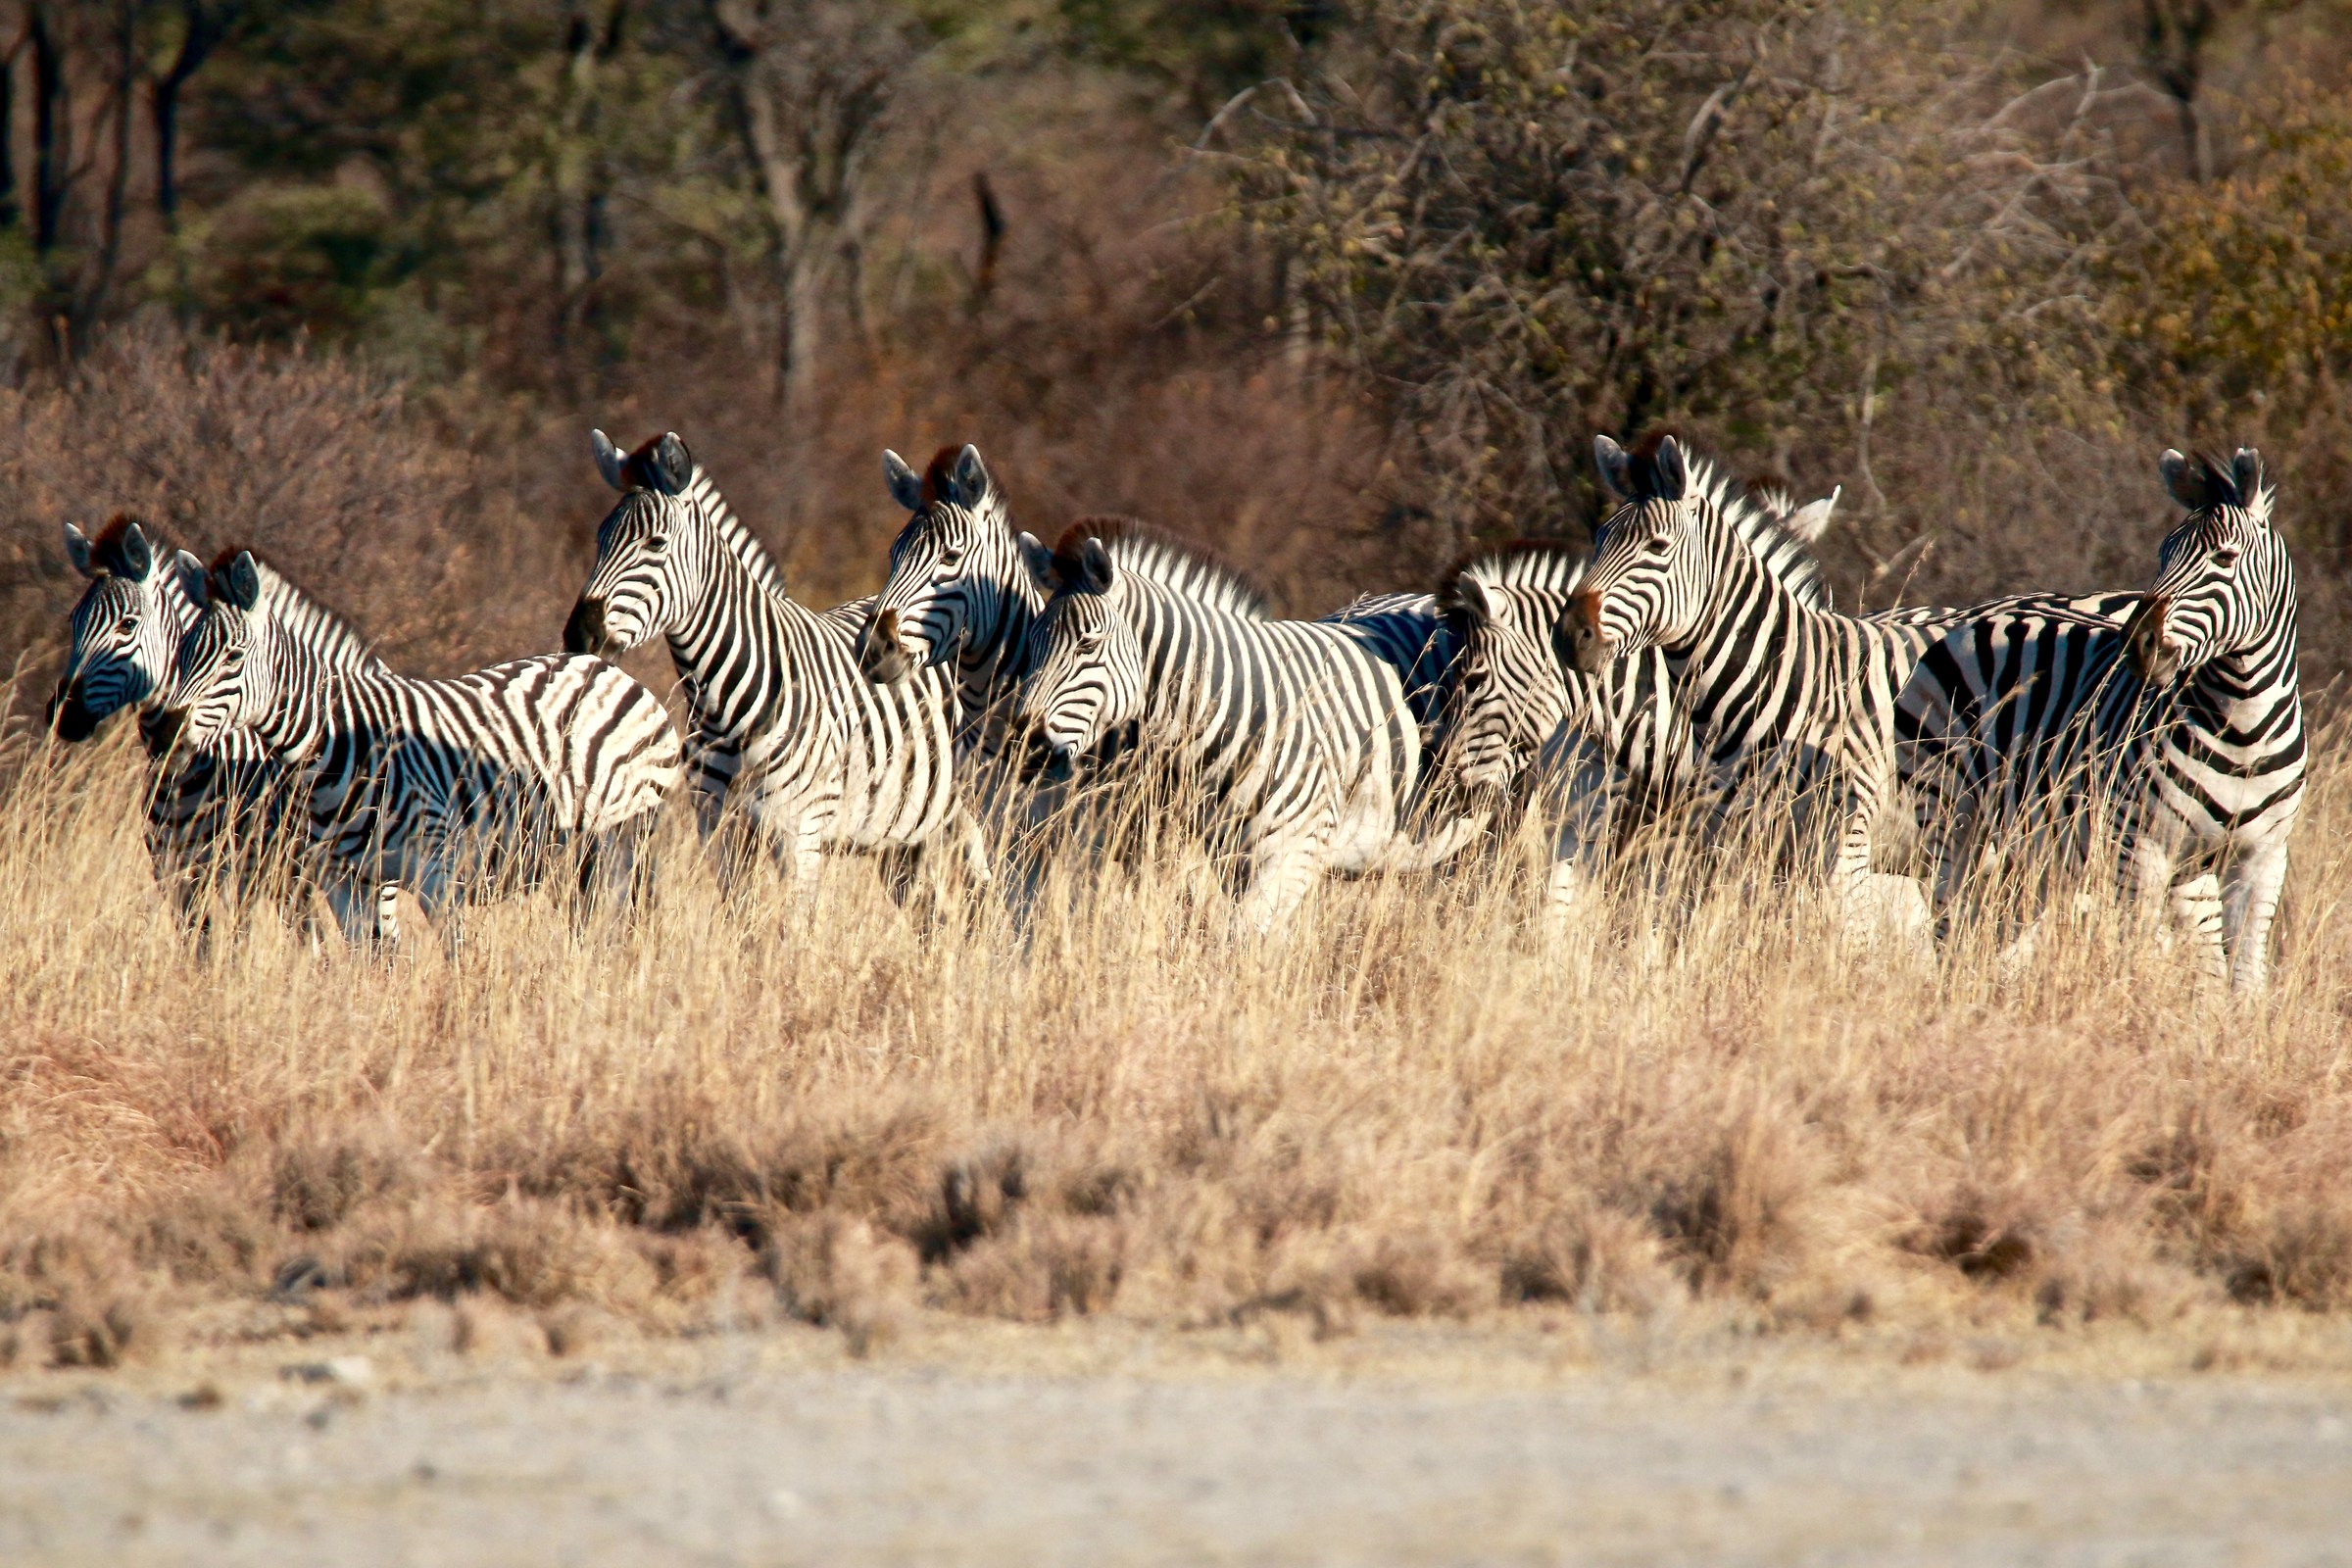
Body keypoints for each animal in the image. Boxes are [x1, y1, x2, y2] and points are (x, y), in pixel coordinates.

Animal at [152, 549, 682, 943]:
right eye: (183, 650)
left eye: (233, 656)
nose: (163, 730)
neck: (340, 745)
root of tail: (605, 666)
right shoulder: (347, 882)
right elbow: (368, 967)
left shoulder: (437, 875)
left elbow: (456, 962)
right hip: (572, 856)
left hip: (621, 835)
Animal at [563, 430, 984, 890]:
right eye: (600, 540)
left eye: (655, 543)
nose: (579, 634)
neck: (725, 704)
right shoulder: (720, 830)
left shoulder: (800, 833)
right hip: (905, 833)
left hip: (967, 812)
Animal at [1897, 448, 2303, 989]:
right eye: (2162, 556)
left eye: (2225, 557)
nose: (2137, 643)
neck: (2245, 730)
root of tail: (1984, 612)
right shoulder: (2140, 847)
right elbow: (2143, 954)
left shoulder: (2262, 858)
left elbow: (2244, 975)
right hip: (1949, 810)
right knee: (1950, 918)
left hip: (2033, 848)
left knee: (1984, 925)